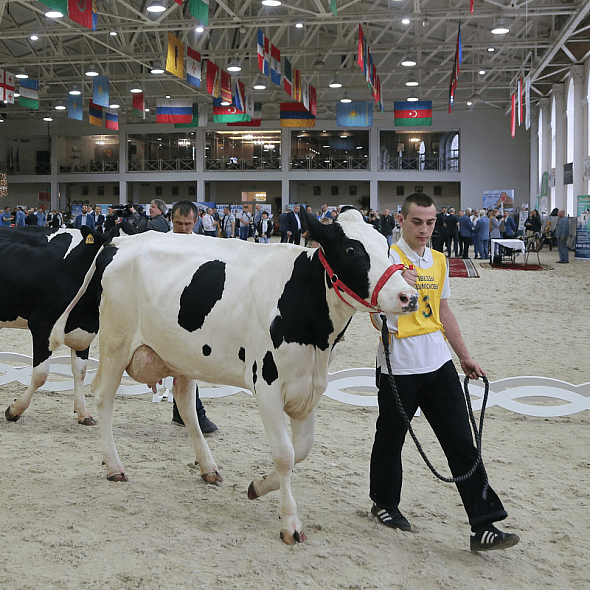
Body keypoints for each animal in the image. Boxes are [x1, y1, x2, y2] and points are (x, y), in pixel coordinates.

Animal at [0, 227, 113, 426]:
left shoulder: (84, 332)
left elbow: (80, 370)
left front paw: (84, 413)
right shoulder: (42, 325)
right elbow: (40, 374)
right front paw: (14, 410)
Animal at [51, 209, 420, 544]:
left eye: (387, 248)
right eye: (351, 250)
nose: (409, 296)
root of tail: (121, 242)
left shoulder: (309, 388)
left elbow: (300, 451)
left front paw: (259, 485)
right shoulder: (268, 385)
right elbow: (285, 454)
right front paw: (290, 523)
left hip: (181, 354)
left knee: (185, 404)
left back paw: (208, 468)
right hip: (117, 341)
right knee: (103, 396)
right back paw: (114, 465)